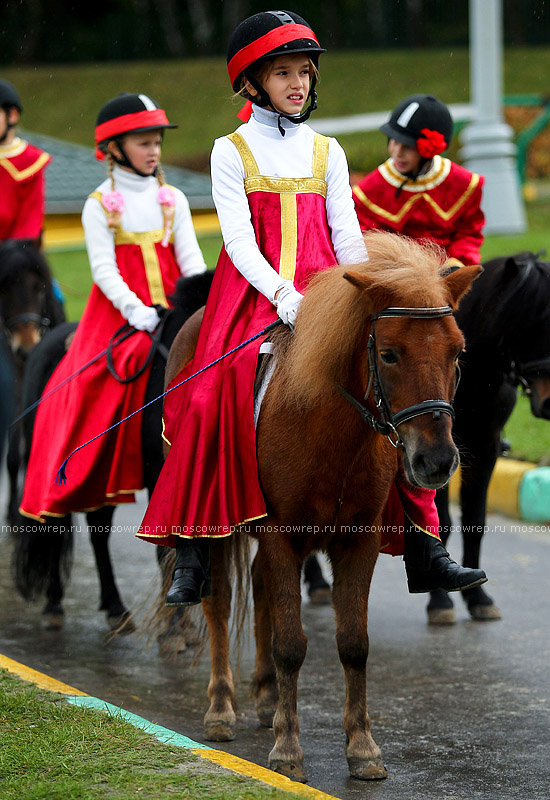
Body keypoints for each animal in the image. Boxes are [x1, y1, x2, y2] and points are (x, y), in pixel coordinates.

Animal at [12, 274, 213, 632]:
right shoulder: (162, 468)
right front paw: (176, 625)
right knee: (57, 524)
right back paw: (55, 604)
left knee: (98, 527)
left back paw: (115, 607)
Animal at [164, 231, 484, 780]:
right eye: (390, 354)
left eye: (457, 352)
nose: (437, 462)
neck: (328, 426)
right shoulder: (279, 535)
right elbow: (292, 644)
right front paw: (289, 750)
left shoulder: (358, 542)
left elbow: (353, 643)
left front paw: (363, 748)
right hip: (221, 523)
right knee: (219, 600)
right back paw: (222, 708)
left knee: (262, 594)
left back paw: (266, 697)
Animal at [432, 252, 550, 624]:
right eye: (526, 320)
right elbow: (441, 522)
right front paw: (440, 598)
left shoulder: (485, 448)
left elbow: (475, 521)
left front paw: (478, 597)